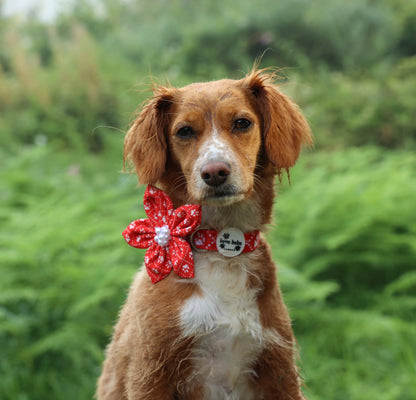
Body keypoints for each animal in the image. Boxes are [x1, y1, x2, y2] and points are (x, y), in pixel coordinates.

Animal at [96, 69, 312, 400]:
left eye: (242, 123)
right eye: (184, 131)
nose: (214, 172)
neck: (220, 247)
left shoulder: (280, 369)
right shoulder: (149, 373)